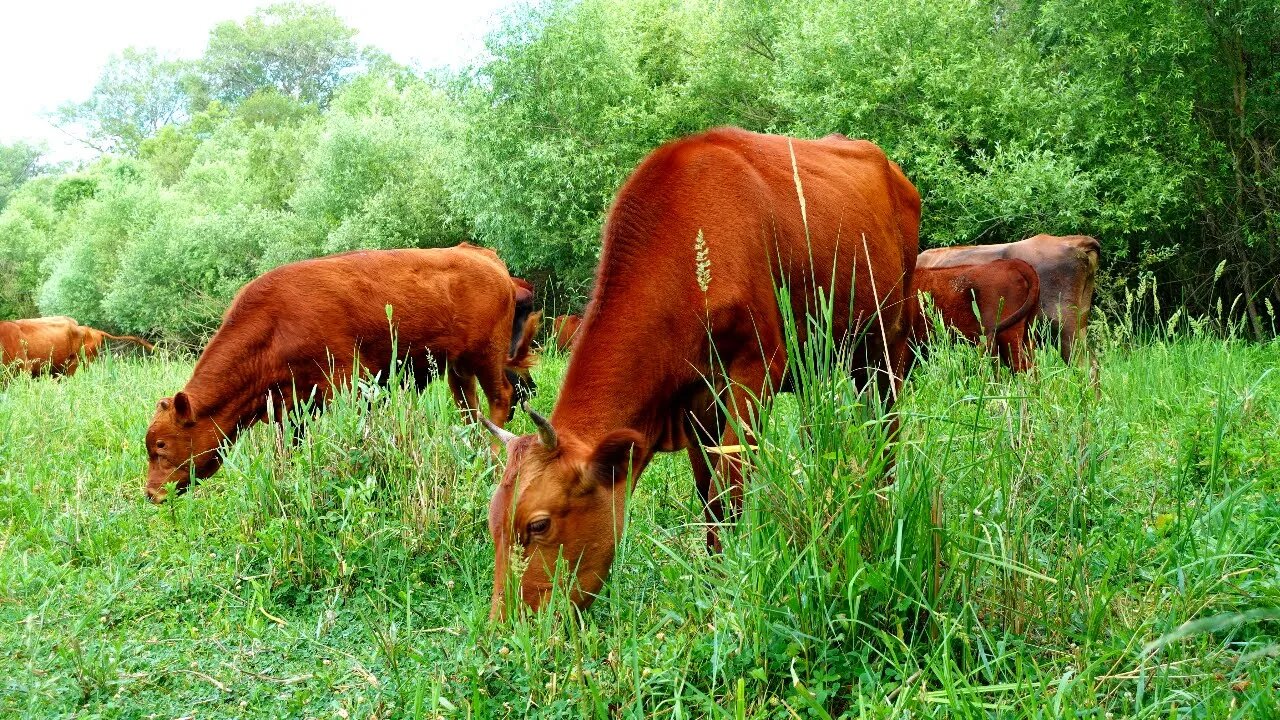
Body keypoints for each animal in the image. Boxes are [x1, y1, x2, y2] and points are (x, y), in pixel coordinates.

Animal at [145, 243, 540, 502]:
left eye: (161, 445)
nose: (151, 493)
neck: (274, 327)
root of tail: (484, 257)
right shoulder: (290, 409)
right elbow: (288, 450)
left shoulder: (350, 385)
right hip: (458, 367)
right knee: (469, 408)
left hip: (486, 356)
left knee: (501, 398)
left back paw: (493, 455)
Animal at [481, 126, 921, 614]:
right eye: (492, 523)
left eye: (538, 524)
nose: (507, 623)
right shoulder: (693, 398)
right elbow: (706, 490)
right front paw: (712, 577)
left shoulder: (755, 370)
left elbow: (728, 488)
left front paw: (730, 587)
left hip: (887, 344)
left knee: (888, 430)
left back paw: (884, 501)